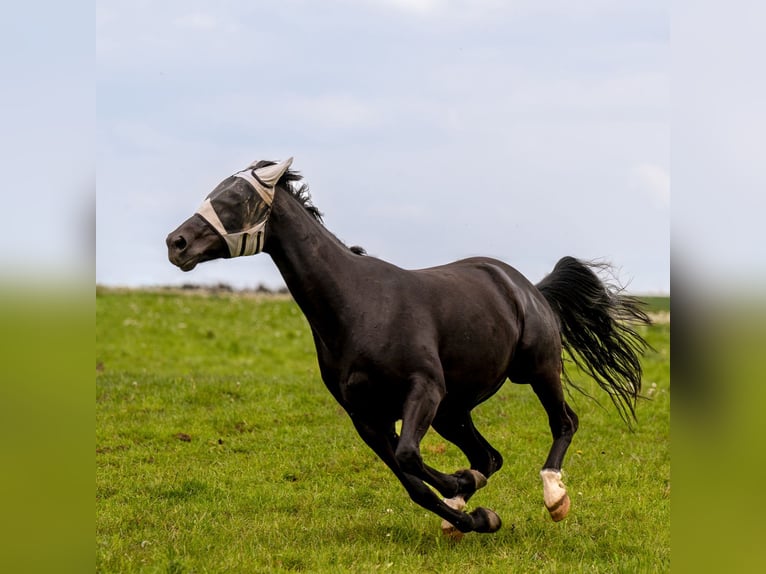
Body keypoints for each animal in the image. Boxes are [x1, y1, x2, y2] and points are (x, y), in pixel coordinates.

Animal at [166, 159, 648, 540]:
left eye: (236, 199)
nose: (176, 243)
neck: (357, 307)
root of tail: (529, 287)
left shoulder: (423, 390)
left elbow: (410, 457)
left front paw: (464, 493)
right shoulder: (366, 417)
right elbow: (413, 482)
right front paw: (476, 512)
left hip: (535, 370)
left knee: (564, 422)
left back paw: (553, 497)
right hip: (454, 411)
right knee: (488, 456)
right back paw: (461, 507)